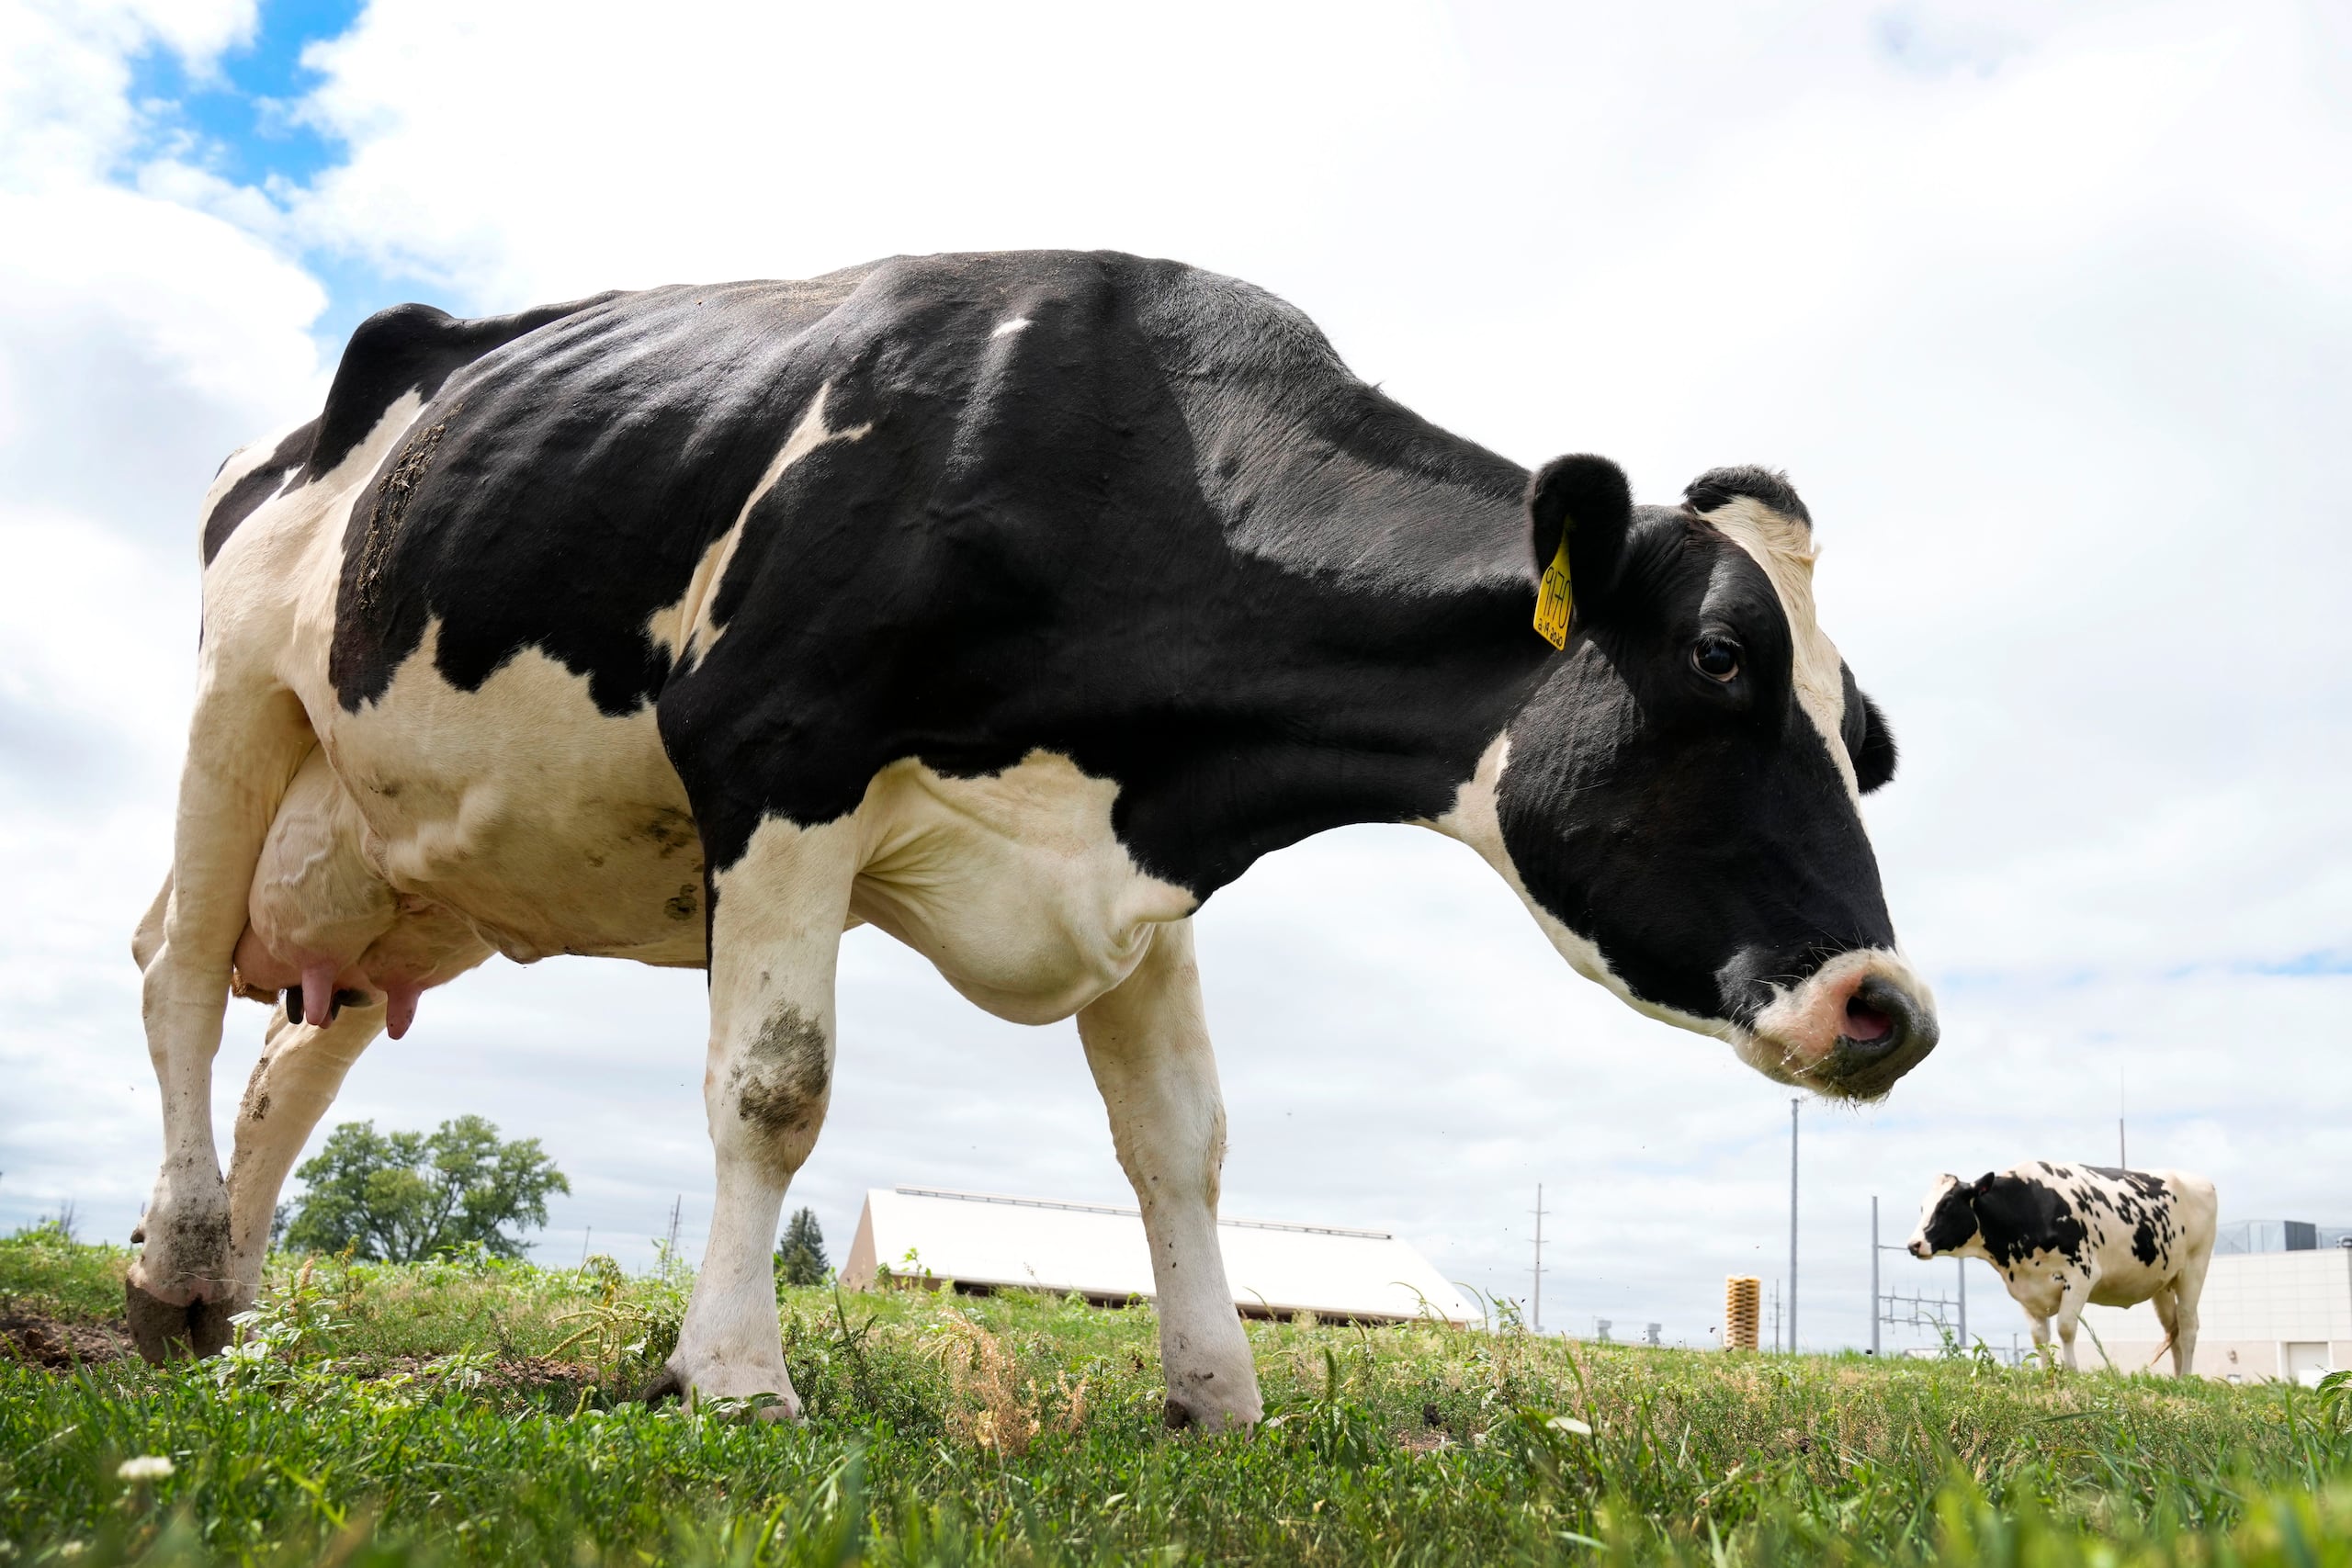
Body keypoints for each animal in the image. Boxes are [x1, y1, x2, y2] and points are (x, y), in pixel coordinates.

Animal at [125, 249, 1937, 1429]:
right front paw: (735, 1375)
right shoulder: (775, 753)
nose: (1890, 1008)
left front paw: (1218, 1393)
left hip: (402, 851)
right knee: (181, 974)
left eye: (1868, 736)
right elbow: (774, 1087)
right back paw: (171, 1276)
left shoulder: (1136, 863)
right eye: (1720, 658)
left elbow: (1183, 1142)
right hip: (236, 703)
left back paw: (233, 1305)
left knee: (299, 1050)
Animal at [1908, 1162, 2217, 1375]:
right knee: (2172, 1329)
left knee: (2188, 1326)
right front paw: (2045, 1373)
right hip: (2163, 1284)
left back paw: (2187, 1378)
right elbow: (2040, 1338)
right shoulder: (2025, 1287)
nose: (1913, 1244)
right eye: (1922, 1207)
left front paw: (2071, 1371)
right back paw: (2176, 1377)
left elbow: (2066, 1328)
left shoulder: (2081, 1274)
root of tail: (2202, 1181)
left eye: (1947, 1205)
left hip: (2194, 1269)